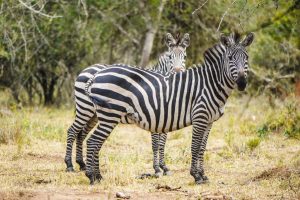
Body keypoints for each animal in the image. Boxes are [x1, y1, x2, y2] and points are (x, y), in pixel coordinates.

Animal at [64, 32, 190, 173]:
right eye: (170, 57)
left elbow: (162, 143)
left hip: (94, 114)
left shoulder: (166, 116)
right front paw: (157, 168)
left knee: (81, 134)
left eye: (184, 56)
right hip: (85, 108)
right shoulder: (155, 115)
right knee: (72, 131)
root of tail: (87, 69)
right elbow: (156, 143)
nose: (178, 73)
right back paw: (69, 165)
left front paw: (164, 167)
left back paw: (82, 164)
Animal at [84, 31, 253, 184]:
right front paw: (196, 176)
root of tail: (97, 74)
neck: (210, 84)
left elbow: (202, 148)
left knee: (93, 141)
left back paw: (96, 176)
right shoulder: (199, 117)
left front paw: (203, 175)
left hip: (102, 115)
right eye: (230, 58)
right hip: (109, 114)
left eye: (247, 58)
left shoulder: (209, 121)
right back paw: (93, 177)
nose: (242, 83)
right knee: (93, 141)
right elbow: (195, 146)